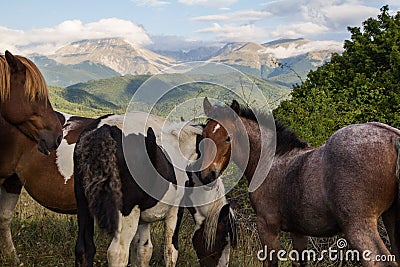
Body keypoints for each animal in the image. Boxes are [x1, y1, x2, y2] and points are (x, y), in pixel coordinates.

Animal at [73, 113, 236, 267]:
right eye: (223, 240)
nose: (211, 175)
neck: (183, 152)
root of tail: (105, 129)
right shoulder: (175, 212)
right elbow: (170, 252)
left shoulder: (144, 219)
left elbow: (144, 251)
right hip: (126, 215)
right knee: (117, 254)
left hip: (84, 207)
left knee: (84, 249)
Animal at [200, 99, 400, 267]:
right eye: (204, 135)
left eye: (228, 137)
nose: (207, 175)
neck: (272, 160)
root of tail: (392, 137)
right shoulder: (298, 231)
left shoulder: (267, 226)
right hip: (391, 219)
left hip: (358, 227)